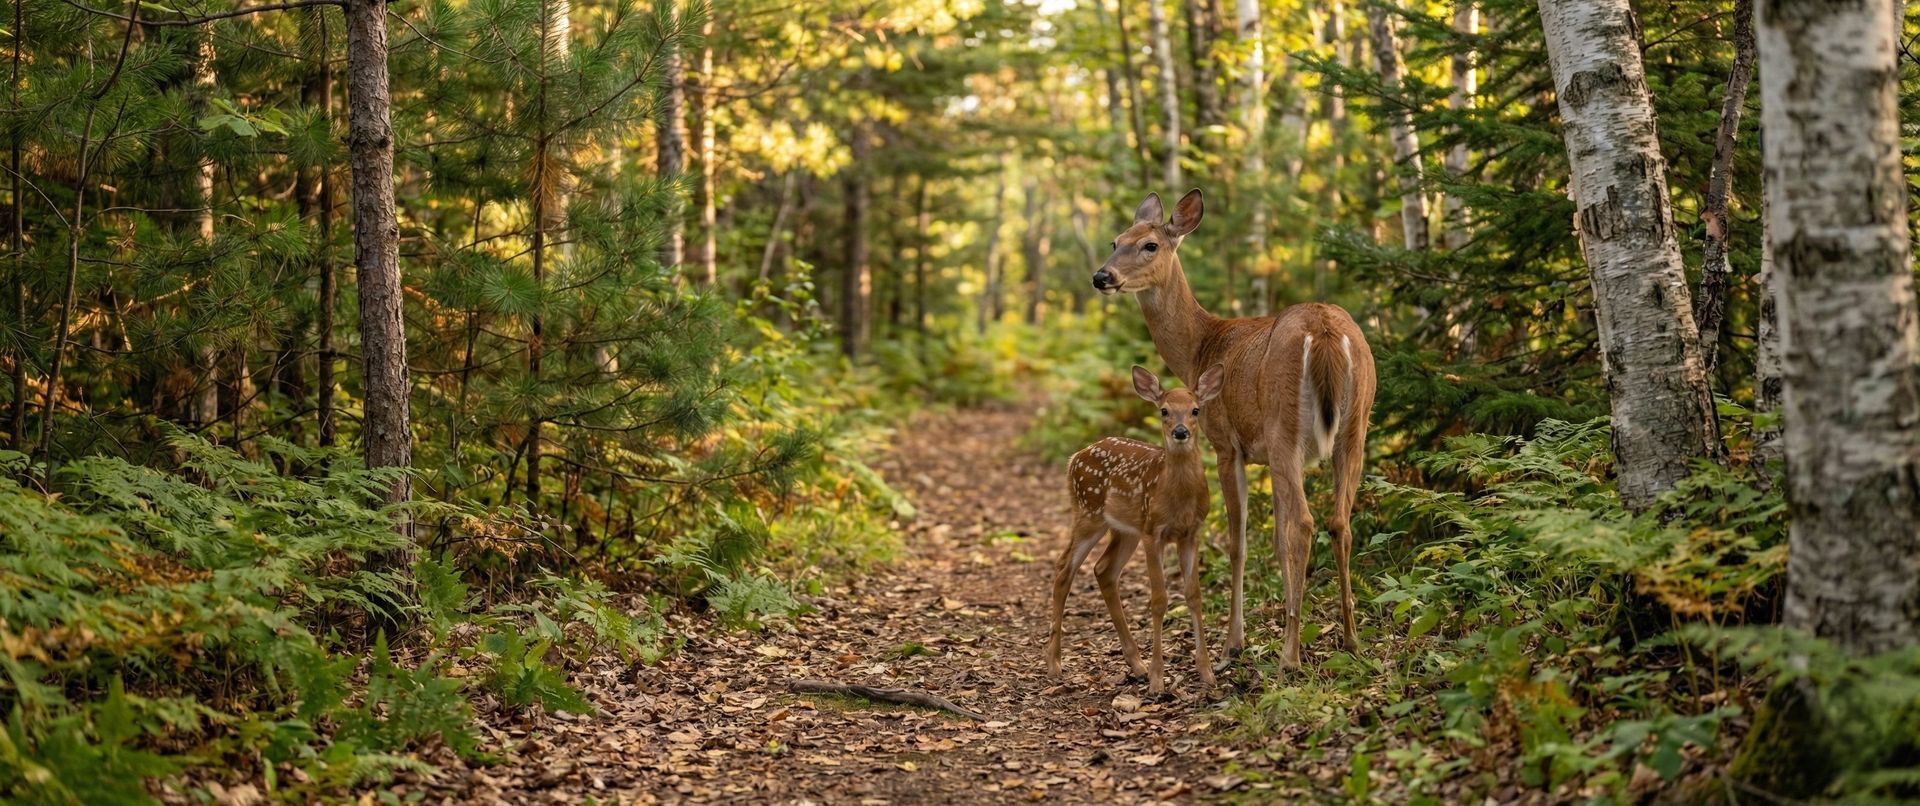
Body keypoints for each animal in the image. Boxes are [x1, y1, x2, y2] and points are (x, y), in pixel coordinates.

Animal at [1044, 364, 1226, 695]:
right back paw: (1054, 665)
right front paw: (1158, 680)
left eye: (1195, 410)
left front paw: (1207, 673)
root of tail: (1075, 457)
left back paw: (1136, 665)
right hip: (1089, 513)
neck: (1177, 496)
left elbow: (1194, 595)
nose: (1180, 432)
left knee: (1103, 569)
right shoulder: (1153, 532)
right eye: (1164, 410)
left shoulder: (1191, 533)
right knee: (1064, 569)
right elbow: (1158, 600)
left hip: (1125, 530)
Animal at [1091, 189, 1377, 671]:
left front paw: (1233, 644)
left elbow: (1240, 542)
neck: (1199, 348)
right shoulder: (1270, 457)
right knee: (1339, 520)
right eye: (1115, 241)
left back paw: (1290, 658)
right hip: (1355, 427)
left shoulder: (1227, 444)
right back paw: (1352, 640)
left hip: (1284, 426)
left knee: (1305, 522)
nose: (1101, 276)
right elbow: (1276, 540)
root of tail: (1324, 332)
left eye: (1149, 245)